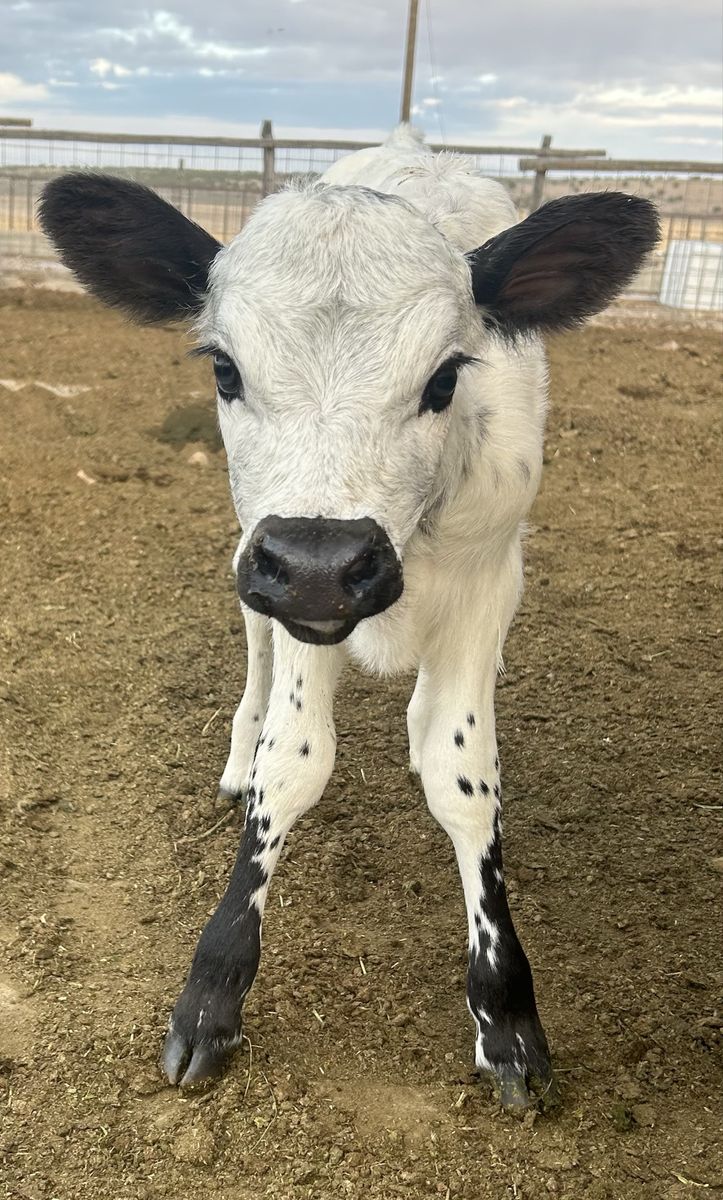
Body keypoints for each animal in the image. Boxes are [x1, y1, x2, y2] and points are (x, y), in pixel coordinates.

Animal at [39, 126, 658, 1108]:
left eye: (445, 378)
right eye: (224, 368)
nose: (323, 565)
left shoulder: (488, 579)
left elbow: (463, 772)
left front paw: (506, 1013)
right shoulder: (283, 587)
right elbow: (290, 762)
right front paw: (210, 993)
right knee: (256, 659)